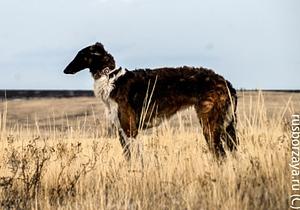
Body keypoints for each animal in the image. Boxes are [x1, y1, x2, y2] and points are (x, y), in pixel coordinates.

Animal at [64, 41, 238, 159]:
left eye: (81, 55)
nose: (65, 70)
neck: (111, 78)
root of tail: (225, 81)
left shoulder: (130, 129)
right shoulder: (121, 130)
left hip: (210, 124)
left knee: (220, 154)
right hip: (223, 125)